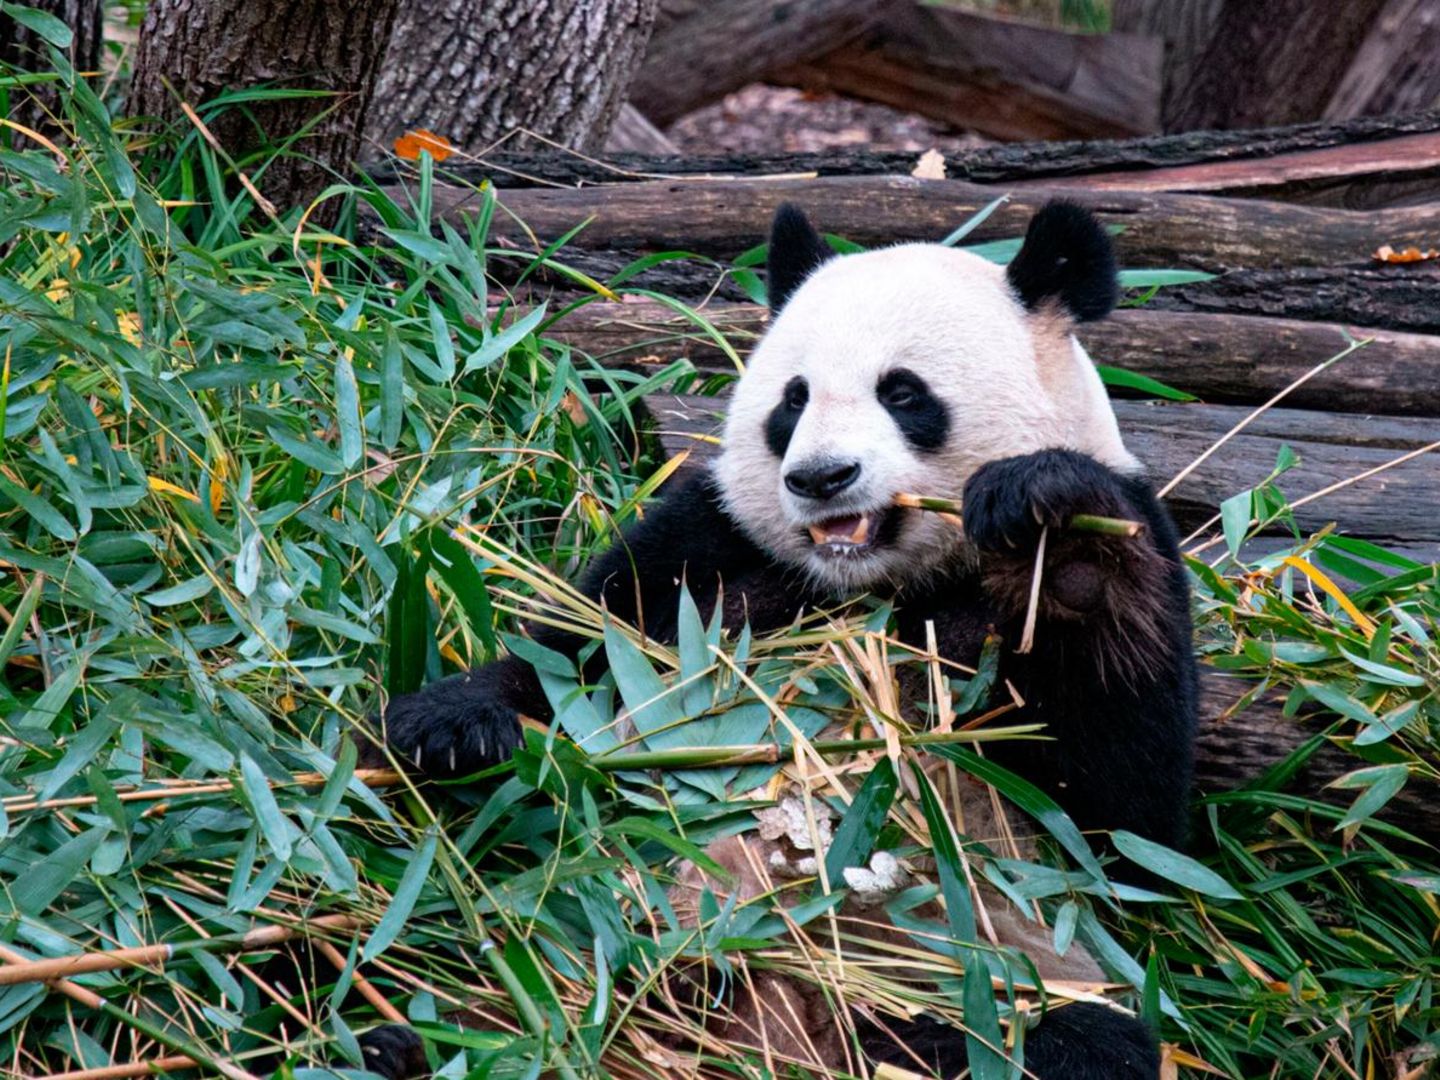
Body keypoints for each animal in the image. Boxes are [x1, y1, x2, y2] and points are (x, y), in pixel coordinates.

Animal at [361, 199, 1198, 1079]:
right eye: (792, 401)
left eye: (903, 392)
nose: (820, 478)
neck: (871, 584)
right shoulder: (710, 546)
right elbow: (577, 648)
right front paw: (451, 726)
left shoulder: (1129, 560)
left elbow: (1122, 829)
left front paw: (1052, 524)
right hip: (573, 910)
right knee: (473, 942)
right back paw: (417, 1038)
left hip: (975, 972)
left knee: (1065, 1039)